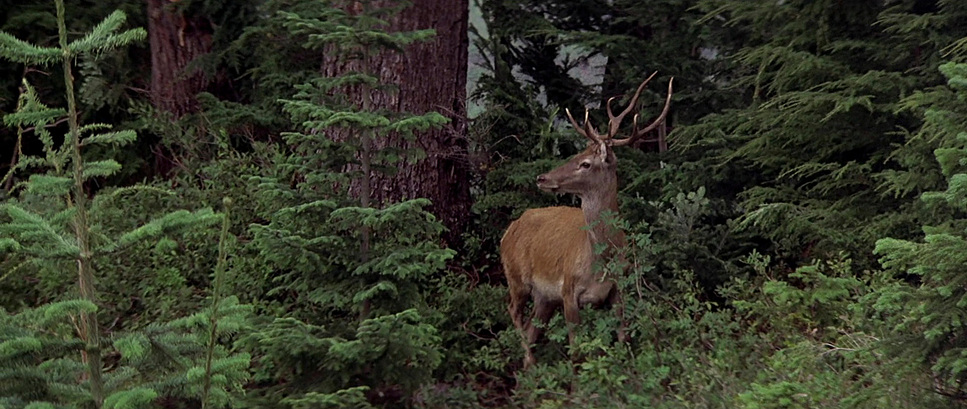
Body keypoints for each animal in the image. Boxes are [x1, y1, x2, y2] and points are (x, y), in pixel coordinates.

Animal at [500, 72, 673, 369]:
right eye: (576, 155)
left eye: (585, 163)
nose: (542, 178)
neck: (600, 261)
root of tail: (508, 230)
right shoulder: (569, 290)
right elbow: (577, 351)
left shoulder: (619, 288)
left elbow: (623, 339)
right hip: (516, 276)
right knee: (514, 312)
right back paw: (530, 363)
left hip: (544, 296)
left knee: (533, 326)